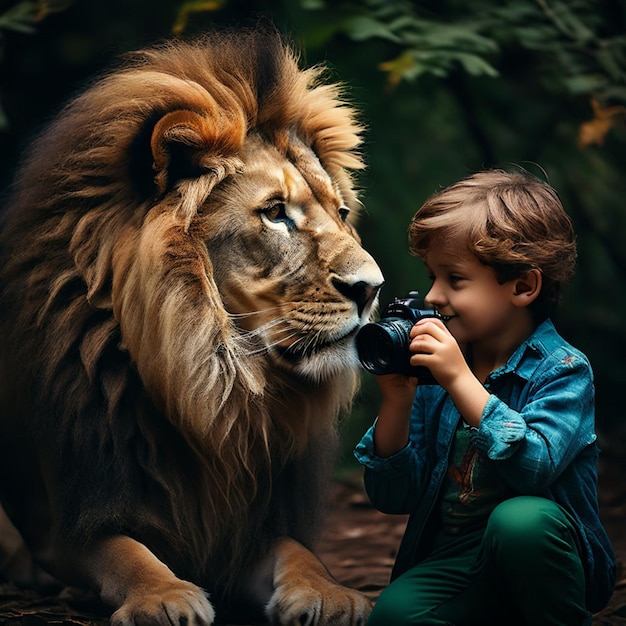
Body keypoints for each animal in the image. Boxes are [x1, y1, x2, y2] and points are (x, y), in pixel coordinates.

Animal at [0, 25, 380, 624]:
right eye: (275, 212)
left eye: (341, 213)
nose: (373, 288)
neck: (214, 394)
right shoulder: (72, 518)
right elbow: (123, 551)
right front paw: (163, 597)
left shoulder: (245, 526)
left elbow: (300, 553)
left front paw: (331, 594)